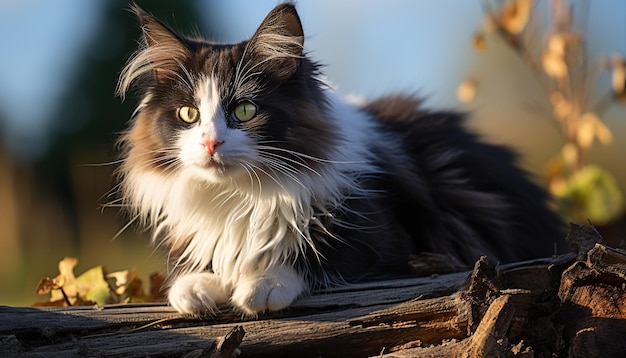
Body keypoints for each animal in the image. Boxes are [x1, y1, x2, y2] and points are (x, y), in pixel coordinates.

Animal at [114, 2, 564, 316]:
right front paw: (198, 286)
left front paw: (261, 282)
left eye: (244, 110)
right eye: (188, 114)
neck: (242, 198)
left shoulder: (397, 246)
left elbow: (322, 253)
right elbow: (200, 265)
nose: (210, 143)